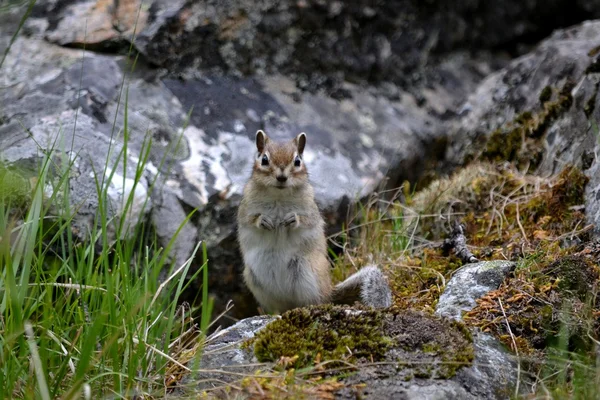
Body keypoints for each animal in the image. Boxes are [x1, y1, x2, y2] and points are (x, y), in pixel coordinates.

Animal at [237, 130, 392, 314]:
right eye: (264, 160)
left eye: (297, 161)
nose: (281, 177)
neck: (279, 196)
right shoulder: (245, 209)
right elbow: (248, 220)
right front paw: (263, 220)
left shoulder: (311, 210)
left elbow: (307, 220)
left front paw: (293, 219)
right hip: (256, 281)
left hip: (307, 273)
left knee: (317, 301)